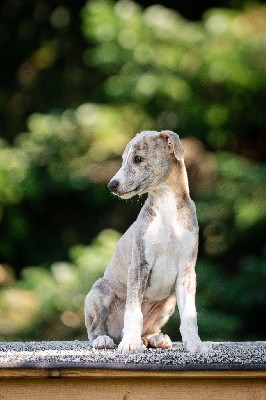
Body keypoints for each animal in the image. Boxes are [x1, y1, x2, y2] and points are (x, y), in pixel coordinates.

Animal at [84, 130, 211, 352]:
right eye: (124, 160)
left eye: (137, 159)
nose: (112, 185)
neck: (167, 207)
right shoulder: (139, 265)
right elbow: (134, 311)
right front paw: (130, 343)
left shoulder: (187, 270)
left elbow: (189, 315)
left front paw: (195, 344)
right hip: (100, 291)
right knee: (94, 329)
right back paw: (105, 340)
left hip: (167, 304)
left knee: (149, 330)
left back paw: (156, 339)